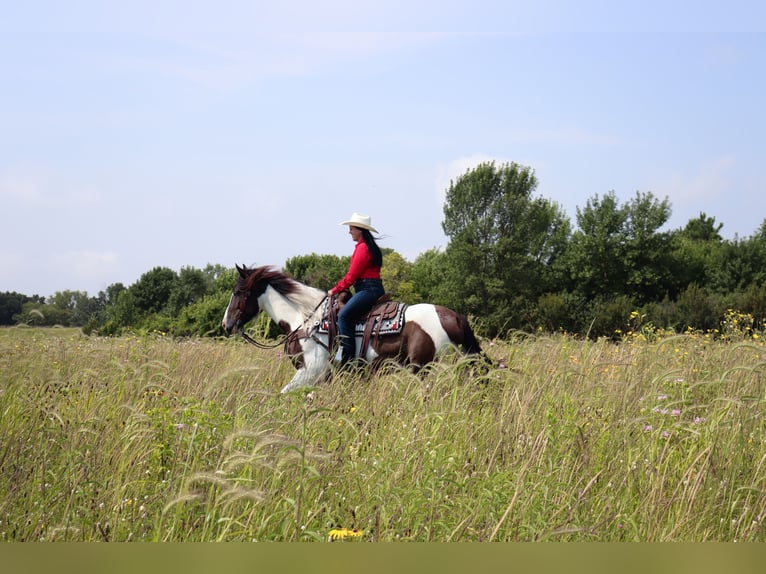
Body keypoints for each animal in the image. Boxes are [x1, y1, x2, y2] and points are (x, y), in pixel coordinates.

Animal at [222, 266, 486, 396]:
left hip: (424, 368)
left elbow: (283, 394)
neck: (306, 319)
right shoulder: (323, 376)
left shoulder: (310, 370)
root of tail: (454, 317)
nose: (226, 324)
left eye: (237, 292)